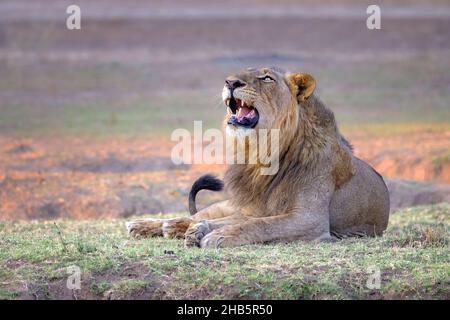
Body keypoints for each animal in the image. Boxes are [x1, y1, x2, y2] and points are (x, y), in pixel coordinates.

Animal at [125, 67, 388, 248]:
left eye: (267, 78)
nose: (230, 82)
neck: (264, 151)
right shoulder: (252, 209)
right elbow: (237, 220)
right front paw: (201, 230)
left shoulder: (309, 219)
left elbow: (261, 225)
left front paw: (218, 235)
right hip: (228, 203)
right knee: (195, 215)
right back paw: (148, 225)